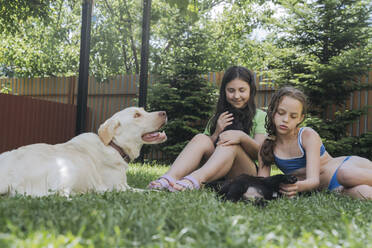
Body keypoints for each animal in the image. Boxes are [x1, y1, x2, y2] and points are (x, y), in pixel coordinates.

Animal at [0, 106, 167, 196]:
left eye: (144, 110)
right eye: (137, 115)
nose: (164, 113)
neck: (113, 145)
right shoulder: (120, 187)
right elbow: (143, 191)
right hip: (67, 167)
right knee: (57, 194)